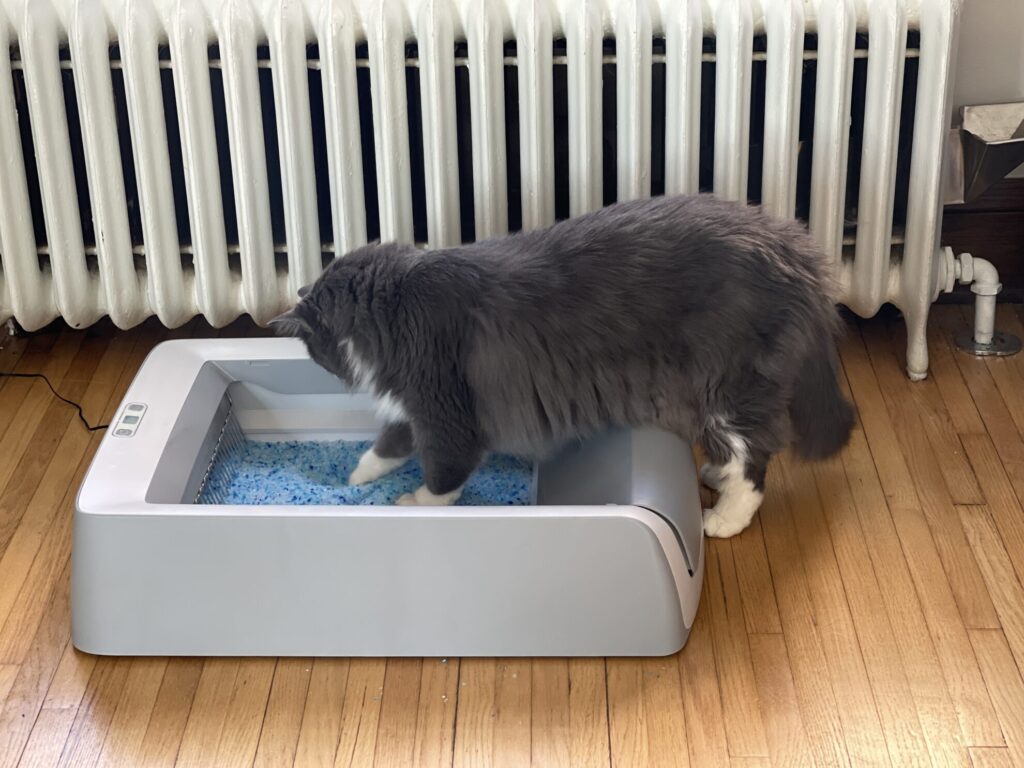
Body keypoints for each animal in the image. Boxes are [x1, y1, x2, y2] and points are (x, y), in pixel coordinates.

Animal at [272, 195, 856, 536]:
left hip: (728, 385)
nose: (320, 367)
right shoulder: (412, 408)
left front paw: (412, 504)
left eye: (313, 350)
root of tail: (791, 246)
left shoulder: (444, 412)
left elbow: (443, 477)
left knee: (755, 460)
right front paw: (351, 481)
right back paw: (711, 474)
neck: (397, 307)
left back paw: (723, 518)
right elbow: (383, 449)